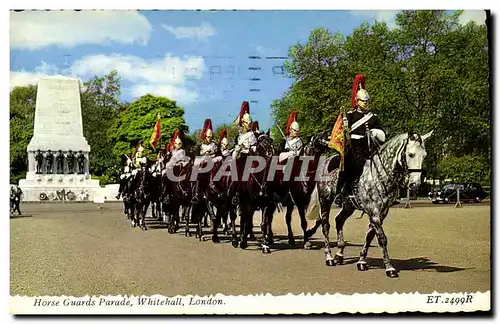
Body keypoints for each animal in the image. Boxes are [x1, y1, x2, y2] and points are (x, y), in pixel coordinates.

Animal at [306, 130, 432, 278]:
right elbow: (382, 238)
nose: (415, 184)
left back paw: (339, 254)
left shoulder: (381, 213)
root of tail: (326, 162)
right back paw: (329, 257)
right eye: (411, 154)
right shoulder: (374, 212)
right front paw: (389, 268)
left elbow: (370, 236)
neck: (381, 176)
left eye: (424, 155)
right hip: (325, 201)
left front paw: (361, 261)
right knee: (325, 225)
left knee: (339, 220)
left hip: (349, 206)